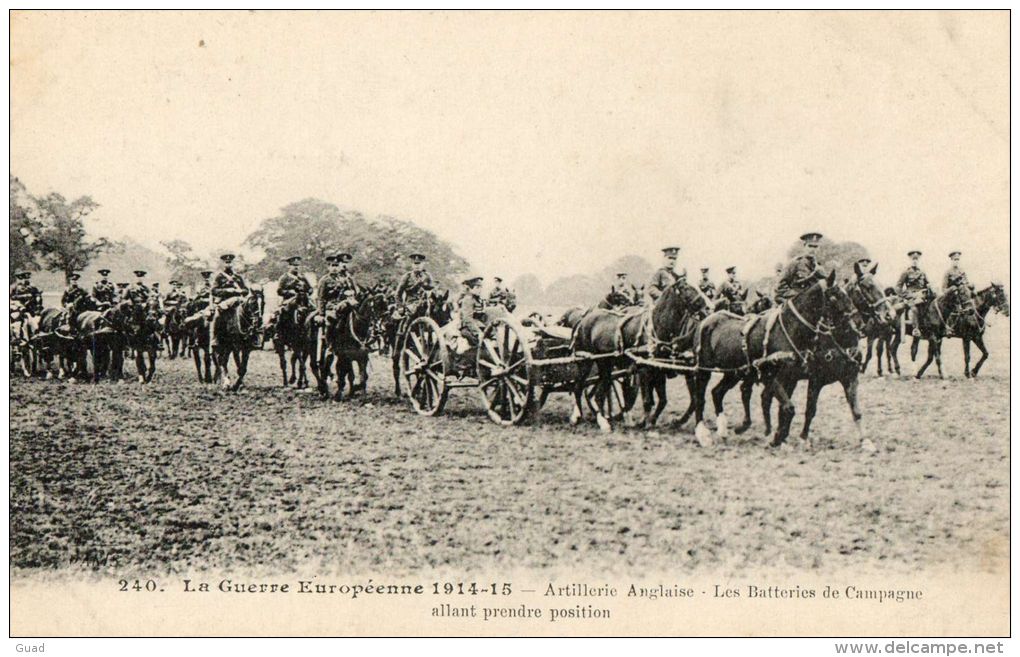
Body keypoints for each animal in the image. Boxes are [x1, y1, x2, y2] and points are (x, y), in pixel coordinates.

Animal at [571, 277, 705, 430]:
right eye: (686, 287)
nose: (706, 305)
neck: (656, 327)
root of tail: (583, 320)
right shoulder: (644, 370)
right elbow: (647, 400)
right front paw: (646, 424)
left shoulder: (659, 369)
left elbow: (662, 400)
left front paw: (649, 421)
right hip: (586, 361)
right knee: (578, 387)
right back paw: (580, 417)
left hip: (605, 363)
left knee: (599, 392)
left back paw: (602, 419)